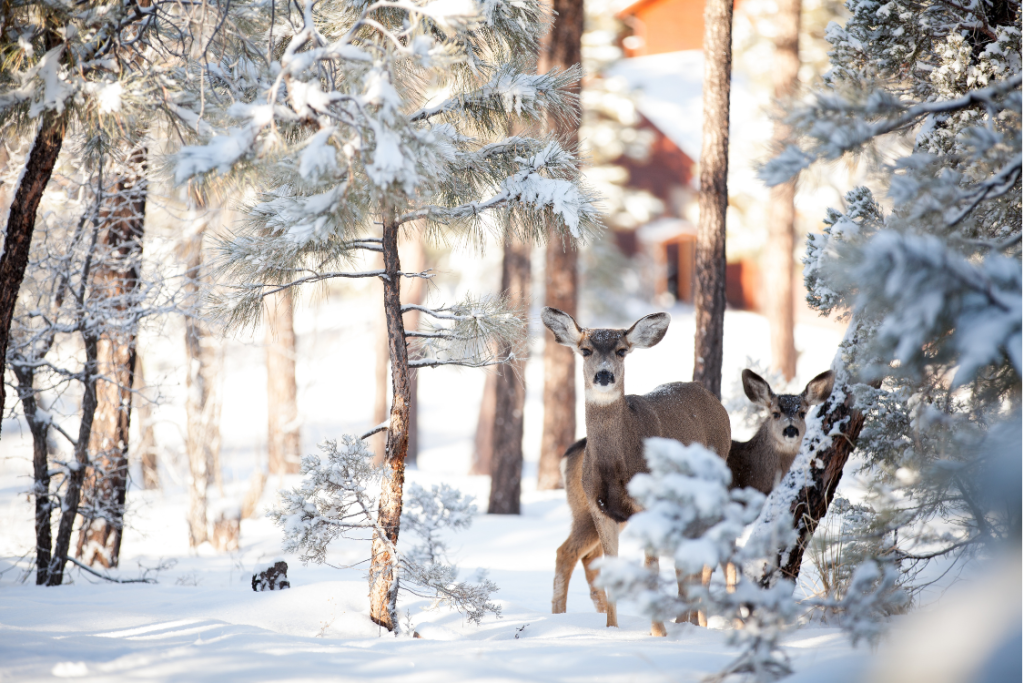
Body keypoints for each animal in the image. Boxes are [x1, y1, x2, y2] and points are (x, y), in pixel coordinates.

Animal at [544, 307, 737, 638]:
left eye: (622, 351)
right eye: (586, 350)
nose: (604, 375)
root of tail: (712, 399)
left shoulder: (649, 506)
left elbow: (652, 568)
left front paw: (657, 633)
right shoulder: (601, 508)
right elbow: (611, 567)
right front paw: (612, 628)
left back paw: (691, 623)